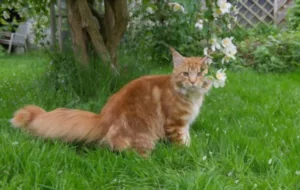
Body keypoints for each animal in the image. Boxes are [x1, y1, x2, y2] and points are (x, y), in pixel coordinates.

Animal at [10, 48, 212, 156]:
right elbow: (181, 143)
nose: (193, 81)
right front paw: (186, 153)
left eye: (200, 73)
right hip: (144, 137)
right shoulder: (175, 123)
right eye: (186, 74)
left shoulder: (185, 125)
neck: (191, 96)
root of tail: (103, 118)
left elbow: (187, 138)